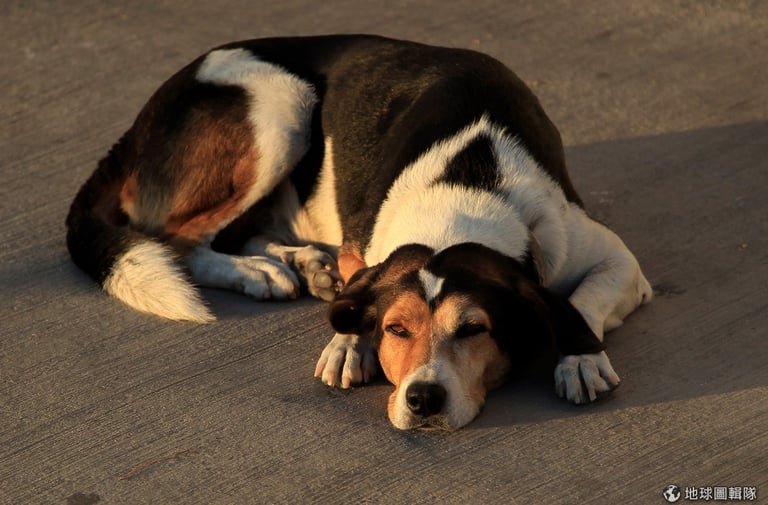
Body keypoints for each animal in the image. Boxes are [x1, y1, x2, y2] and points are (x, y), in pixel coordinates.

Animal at [67, 34, 656, 430]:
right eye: (396, 329)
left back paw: (301, 264)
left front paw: (581, 356)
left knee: (239, 232)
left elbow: (583, 299)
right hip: (281, 107)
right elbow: (359, 291)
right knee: (184, 238)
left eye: (474, 329)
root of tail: (136, 127)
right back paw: (261, 271)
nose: (423, 400)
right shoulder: (365, 248)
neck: (463, 185)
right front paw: (350, 343)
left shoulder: (615, 259)